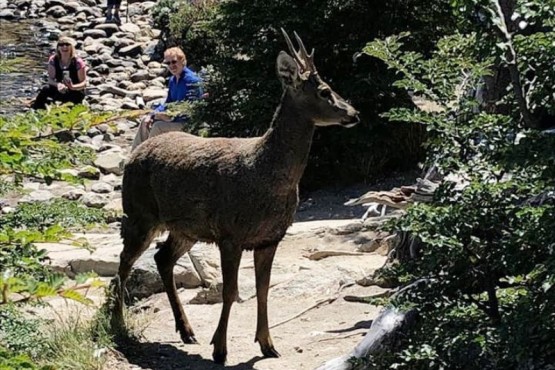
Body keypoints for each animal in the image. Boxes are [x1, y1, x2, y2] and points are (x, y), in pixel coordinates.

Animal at [113, 29, 360, 364]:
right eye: (324, 91)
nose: (354, 113)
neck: (264, 172)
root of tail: (135, 154)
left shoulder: (270, 238)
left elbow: (263, 290)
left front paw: (268, 344)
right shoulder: (231, 233)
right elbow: (230, 292)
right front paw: (220, 348)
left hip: (186, 228)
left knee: (161, 259)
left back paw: (187, 331)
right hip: (139, 213)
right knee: (125, 261)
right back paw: (119, 324)